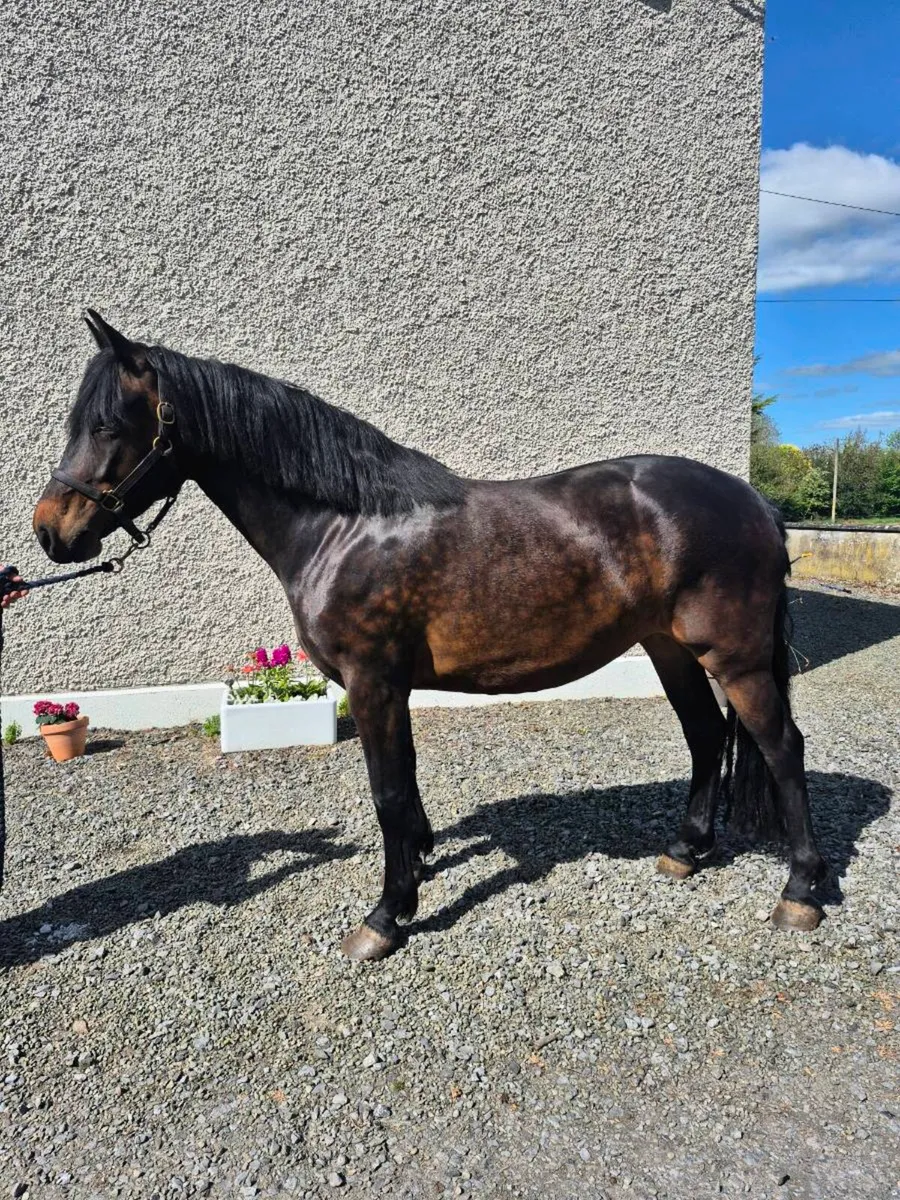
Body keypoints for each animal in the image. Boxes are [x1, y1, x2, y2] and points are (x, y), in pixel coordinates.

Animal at [32, 310, 827, 961]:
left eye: (108, 426)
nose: (49, 532)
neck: (344, 525)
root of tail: (753, 499)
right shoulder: (389, 688)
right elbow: (405, 789)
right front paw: (419, 866)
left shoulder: (373, 681)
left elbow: (387, 793)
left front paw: (385, 918)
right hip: (671, 650)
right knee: (706, 736)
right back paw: (686, 852)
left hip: (735, 658)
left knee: (781, 747)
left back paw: (800, 894)